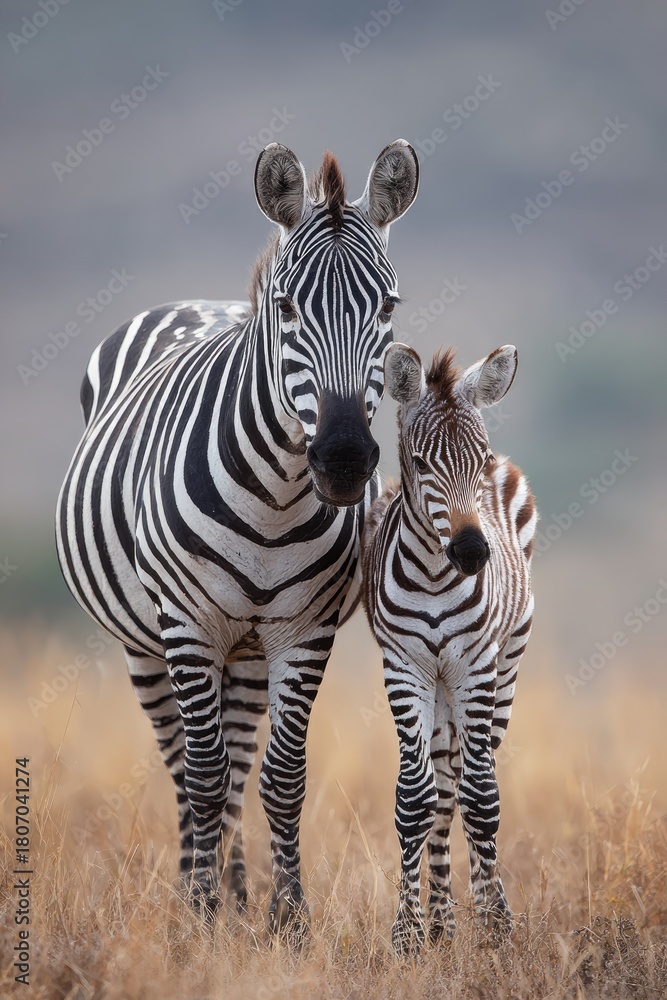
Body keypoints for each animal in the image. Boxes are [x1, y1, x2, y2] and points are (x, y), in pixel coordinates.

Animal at [55, 140, 419, 931]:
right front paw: (198, 916)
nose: (344, 459)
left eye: (387, 305)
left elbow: (280, 776)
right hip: (149, 642)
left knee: (240, 760)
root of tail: (197, 302)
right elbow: (201, 774)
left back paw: (238, 894)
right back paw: (201, 895)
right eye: (285, 309)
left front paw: (288, 920)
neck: (276, 501)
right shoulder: (187, 626)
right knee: (184, 765)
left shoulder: (303, 631)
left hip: (247, 650)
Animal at [362, 341, 536, 954]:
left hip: (505, 667)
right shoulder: (405, 668)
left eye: (477, 460)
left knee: (471, 777)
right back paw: (441, 921)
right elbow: (415, 800)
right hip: (437, 688)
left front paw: (498, 930)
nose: (471, 552)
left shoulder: (474, 667)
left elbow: (482, 800)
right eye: (420, 462)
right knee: (441, 787)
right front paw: (410, 935)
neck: (437, 579)